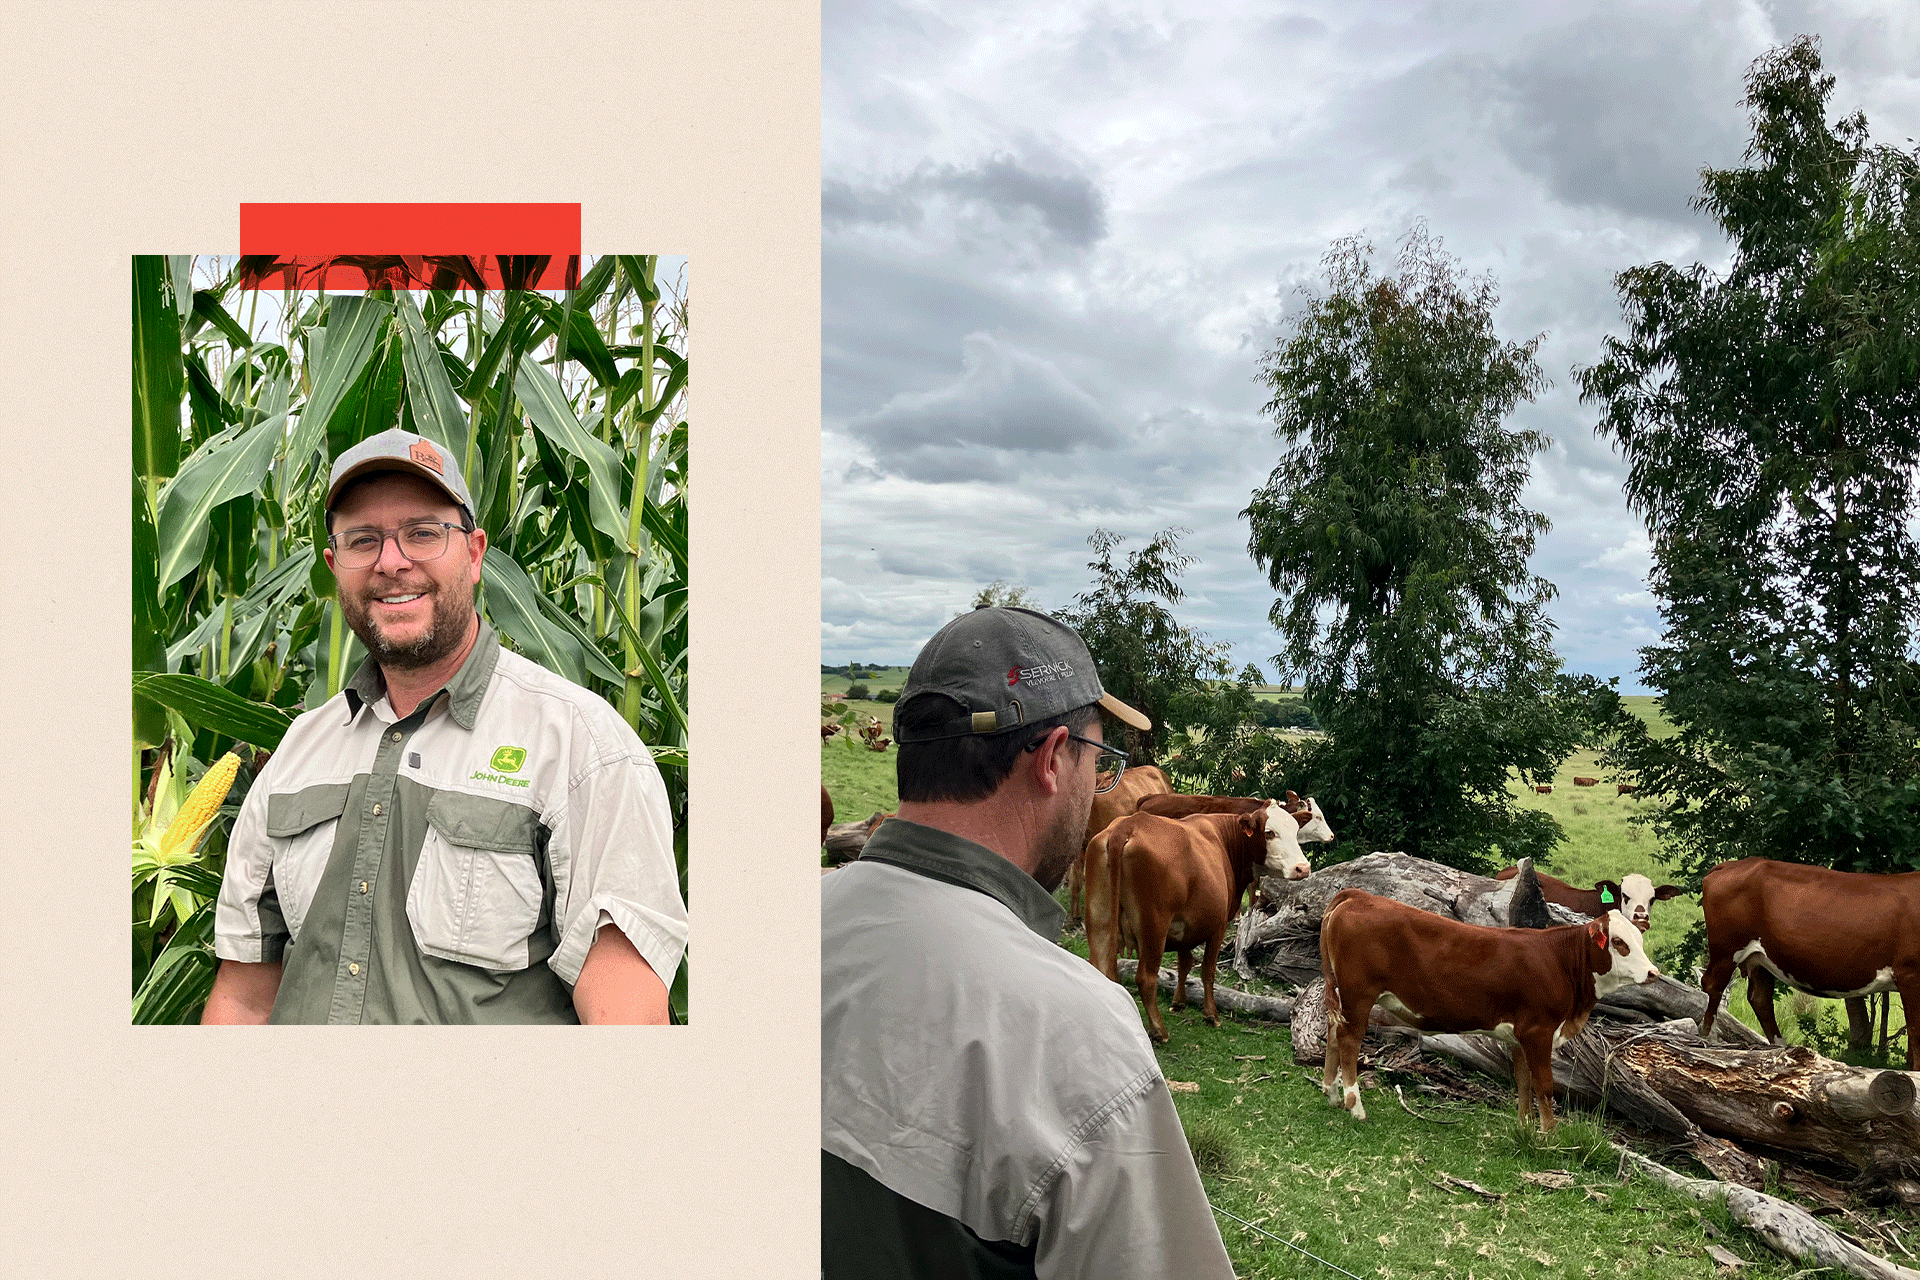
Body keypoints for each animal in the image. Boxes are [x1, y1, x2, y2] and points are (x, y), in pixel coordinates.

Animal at [1090, 805, 1313, 1043]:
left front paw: (1178, 1002)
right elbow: (1207, 970)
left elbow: (1184, 964)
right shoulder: (1218, 926)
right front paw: (1210, 1014)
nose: (1303, 868)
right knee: (1146, 978)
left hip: (1100, 921)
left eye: (1296, 832)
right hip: (1154, 929)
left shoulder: (1184, 926)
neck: (1224, 841)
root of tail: (1128, 824)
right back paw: (1159, 1030)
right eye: (1269, 832)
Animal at [1328, 890, 1658, 1128]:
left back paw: (1331, 1092)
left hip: (1339, 993)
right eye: (1619, 942)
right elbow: (1545, 1087)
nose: (1653, 972)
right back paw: (1354, 1106)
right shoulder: (1538, 1032)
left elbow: (1524, 1083)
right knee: (1349, 1040)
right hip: (1359, 996)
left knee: (1332, 1031)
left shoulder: (1521, 1037)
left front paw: (1526, 1130)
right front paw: (1549, 1138)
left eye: (1640, 940)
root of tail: (1358, 895)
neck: (1560, 961)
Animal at [1704, 859, 1912, 1074]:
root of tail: (1731, 864)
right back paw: (1708, 1042)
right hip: (1725, 950)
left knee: (1759, 998)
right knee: (1713, 986)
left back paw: (1780, 1048)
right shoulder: (1910, 973)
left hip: (1759, 959)